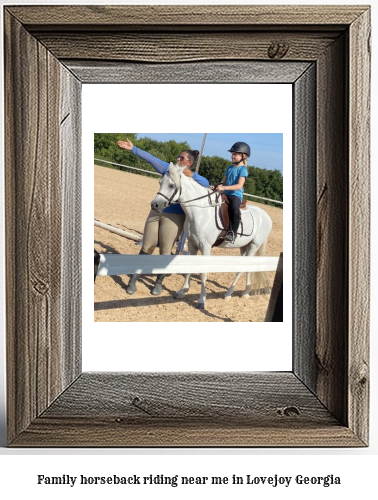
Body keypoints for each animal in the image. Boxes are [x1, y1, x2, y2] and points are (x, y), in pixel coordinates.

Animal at [151, 164, 272, 308]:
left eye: (171, 185)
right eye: (160, 182)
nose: (154, 205)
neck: (200, 212)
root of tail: (266, 216)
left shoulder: (205, 247)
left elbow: (203, 273)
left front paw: (201, 300)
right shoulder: (192, 244)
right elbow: (189, 268)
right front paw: (182, 291)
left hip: (254, 245)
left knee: (243, 268)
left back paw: (228, 294)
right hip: (245, 247)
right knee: (248, 267)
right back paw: (245, 292)